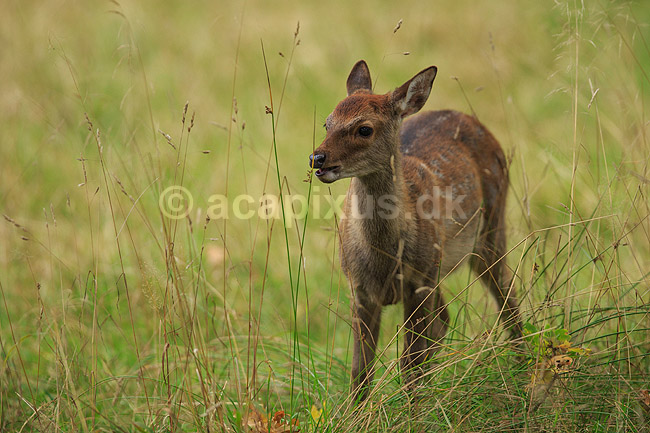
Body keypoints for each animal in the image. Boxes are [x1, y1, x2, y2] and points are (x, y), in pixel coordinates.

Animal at [309, 60, 522, 400]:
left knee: (508, 301)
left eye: (364, 128)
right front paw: (356, 411)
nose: (318, 158)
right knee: (445, 319)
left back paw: (526, 371)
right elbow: (360, 371)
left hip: (488, 232)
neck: (383, 259)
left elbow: (409, 365)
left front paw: (414, 409)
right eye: (327, 123)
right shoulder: (359, 288)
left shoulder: (418, 284)